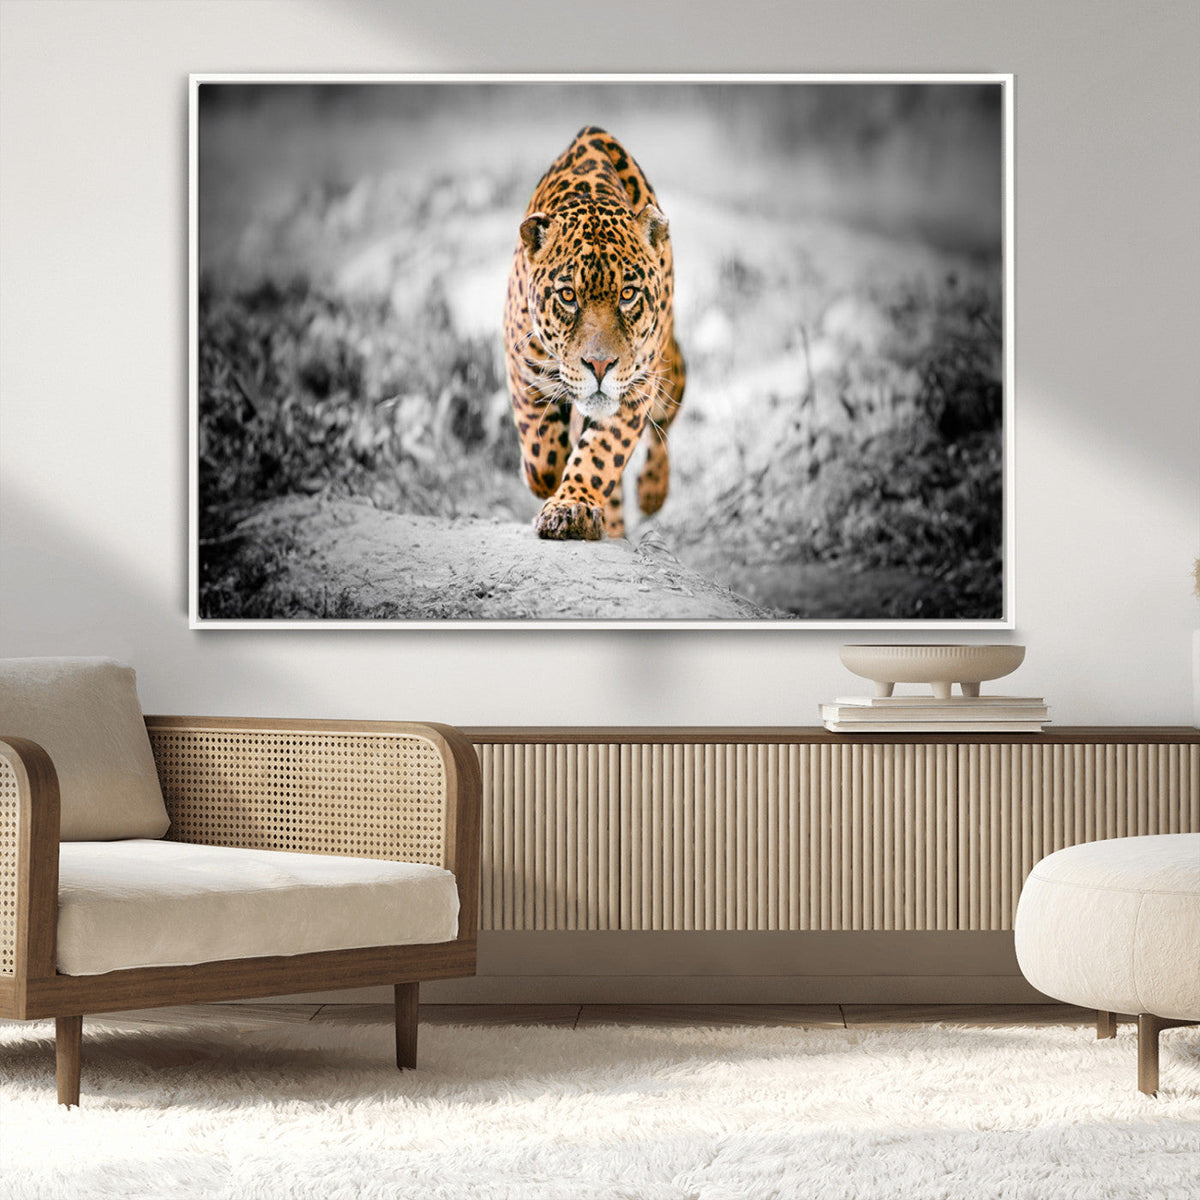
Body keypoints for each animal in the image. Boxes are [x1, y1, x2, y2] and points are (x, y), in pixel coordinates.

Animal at [503, 126, 686, 540]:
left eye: (628, 294)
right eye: (568, 296)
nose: (600, 366)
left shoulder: (637, 386)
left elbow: (601, 454)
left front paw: (571, 507)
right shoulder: (522, 364)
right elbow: (541, 453)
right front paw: (548, 480)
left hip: (669, 371)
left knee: (664, 425)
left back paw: (651, 492)